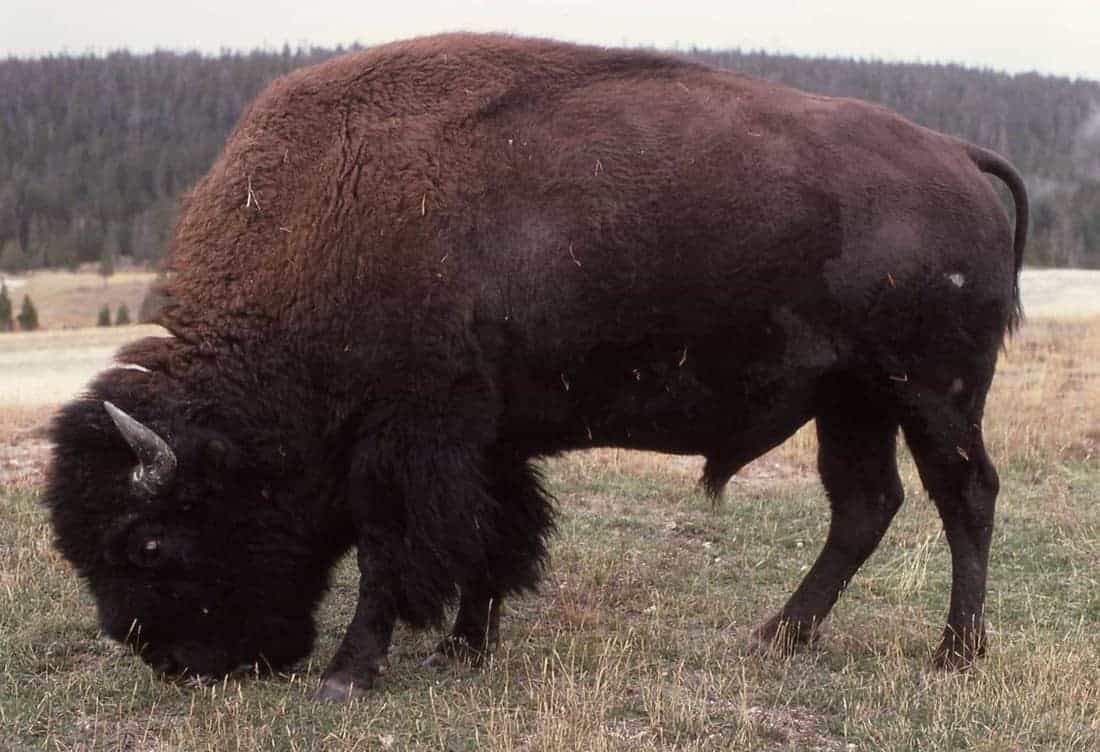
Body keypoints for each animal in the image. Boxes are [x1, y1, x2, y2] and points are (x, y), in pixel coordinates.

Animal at [45, 33, 1027, 701]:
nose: (172, 661)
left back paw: (954, 653)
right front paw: (463, 647)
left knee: (965, 496)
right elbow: (495, 536)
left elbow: (392, 550)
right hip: (851, 399)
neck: (327, 215)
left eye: (147, 541)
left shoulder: (410, 438)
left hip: (932, 391)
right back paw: (777, 638)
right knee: (865, 506)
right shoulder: (491, 439)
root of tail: (956, 154)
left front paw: (351, 674)